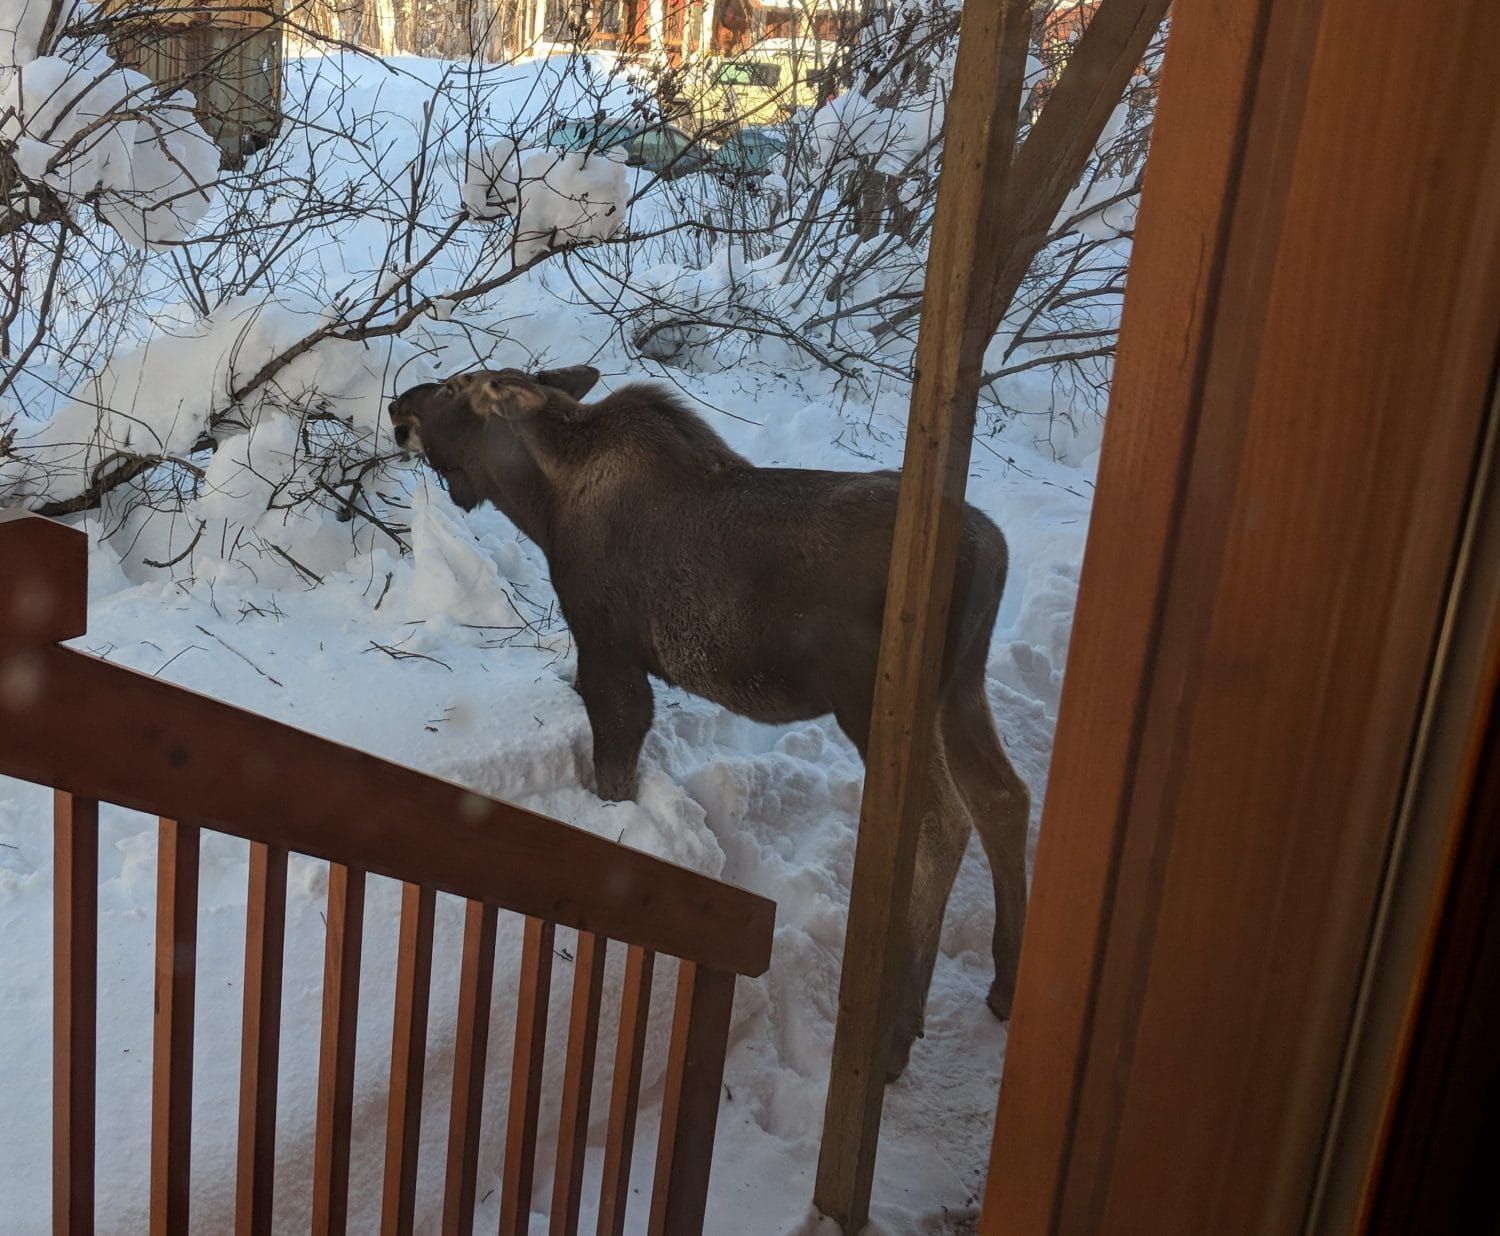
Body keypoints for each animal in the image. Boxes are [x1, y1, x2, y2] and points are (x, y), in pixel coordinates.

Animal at [388, 365, 1030, 1077]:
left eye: (453, 389)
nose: (397, 405)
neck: (541, 505)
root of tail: (995, 556)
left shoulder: (608, 649)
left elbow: (614, 769)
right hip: (962, 685)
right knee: (1003, 795)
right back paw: (1005, 982)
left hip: (878, 698)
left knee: (943, 820)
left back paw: (894, 1033)